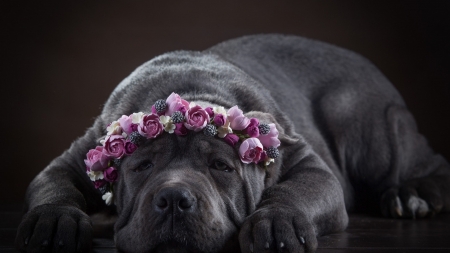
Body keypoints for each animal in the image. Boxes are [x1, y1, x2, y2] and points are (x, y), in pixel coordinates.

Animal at [14, 34, 450, 253]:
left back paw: (411, 195)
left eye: (221, 167)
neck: (188, 90)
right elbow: (53, 186)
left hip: (364, 124)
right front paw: (54, 219)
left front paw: (276, 222)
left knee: (427, 164)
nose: (173, 199)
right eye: (141, 167)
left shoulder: (307, 163)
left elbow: (294, 191)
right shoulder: (75, 158)